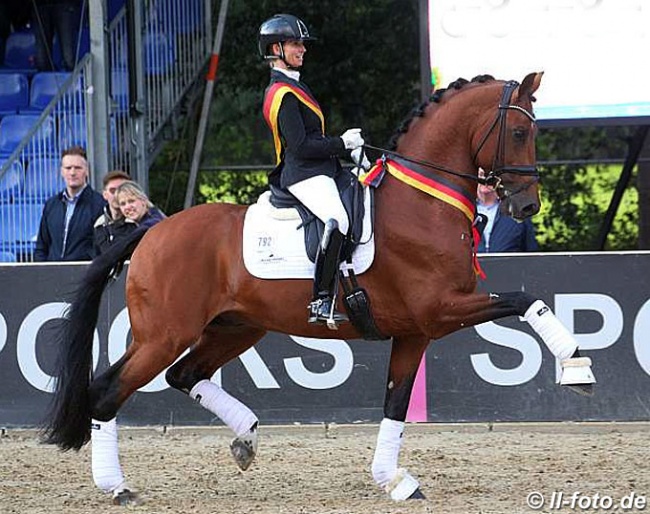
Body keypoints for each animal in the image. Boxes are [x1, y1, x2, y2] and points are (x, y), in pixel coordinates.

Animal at [44, 73, 592, 500]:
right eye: (519, 131)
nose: (526, 206)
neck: (422, 203)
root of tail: (150, 231)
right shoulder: (440, 309)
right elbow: (525, 300)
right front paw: (575, 365)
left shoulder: (415, 332)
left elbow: (395, 404)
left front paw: (393, 479)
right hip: (163, 335)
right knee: (107, 392)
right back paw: (116, 486)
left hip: (235, 328)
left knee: (184, 375)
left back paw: (246, 437)